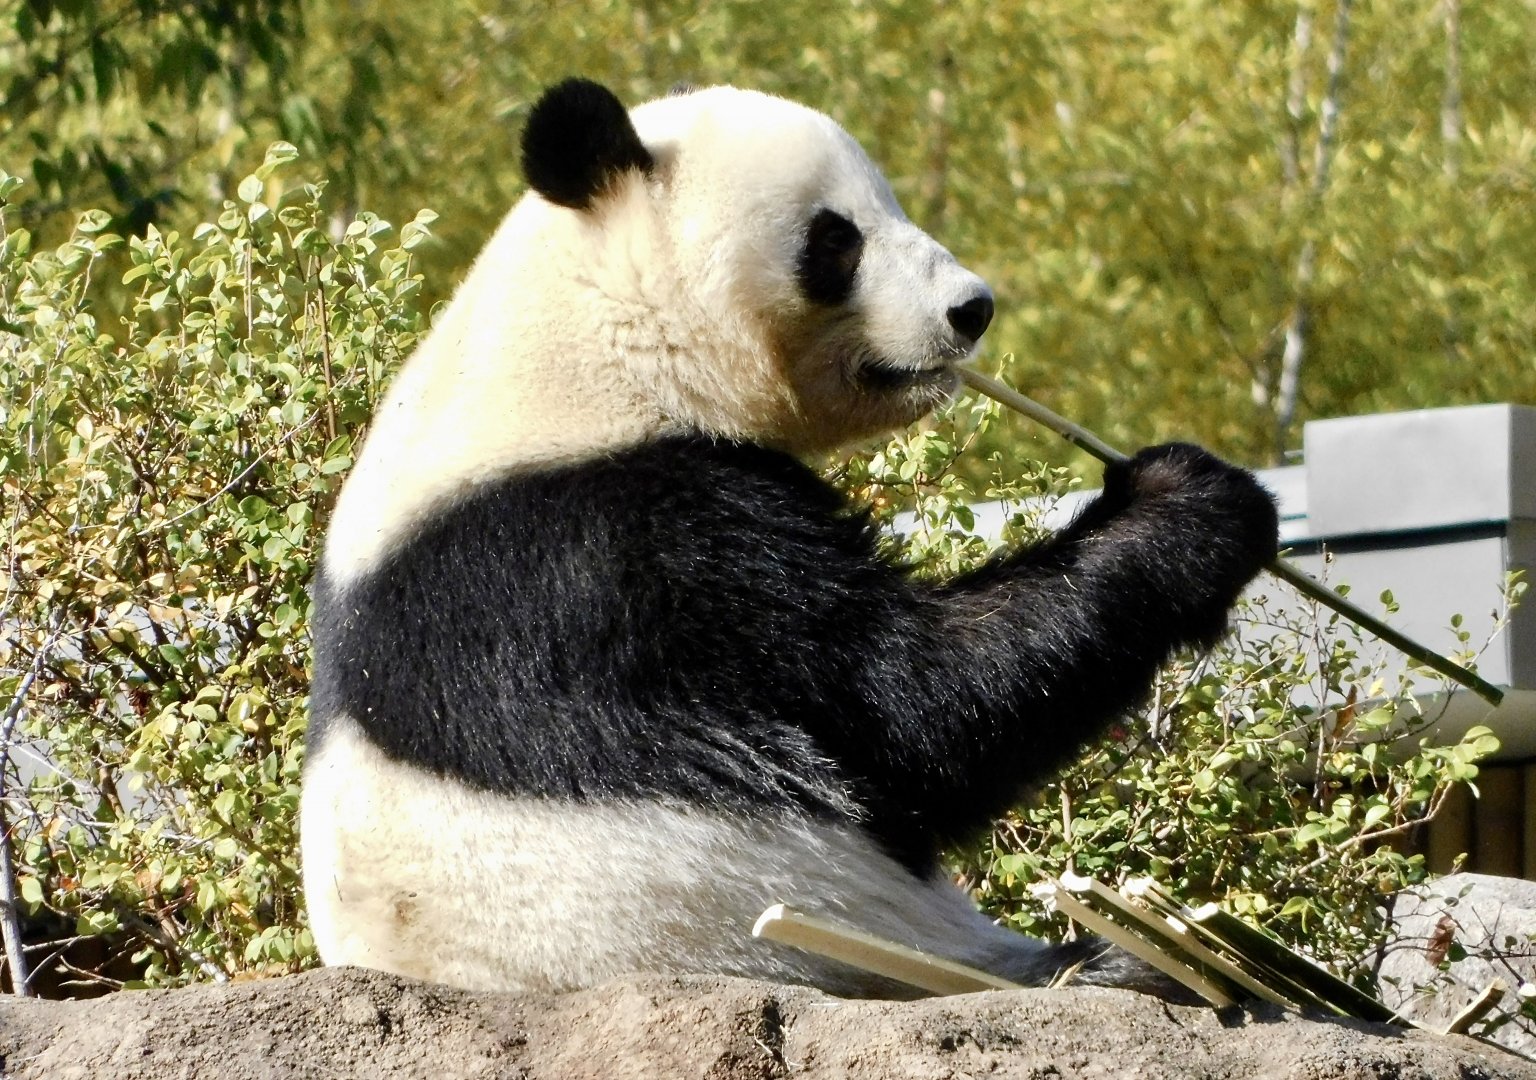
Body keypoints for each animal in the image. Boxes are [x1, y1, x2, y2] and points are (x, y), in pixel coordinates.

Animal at [301, 77, 1279, 999]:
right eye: (836, 239)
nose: (973, 309)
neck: (589, 337)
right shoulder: (601, 551)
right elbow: (906, 711)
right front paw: (1192, 505)